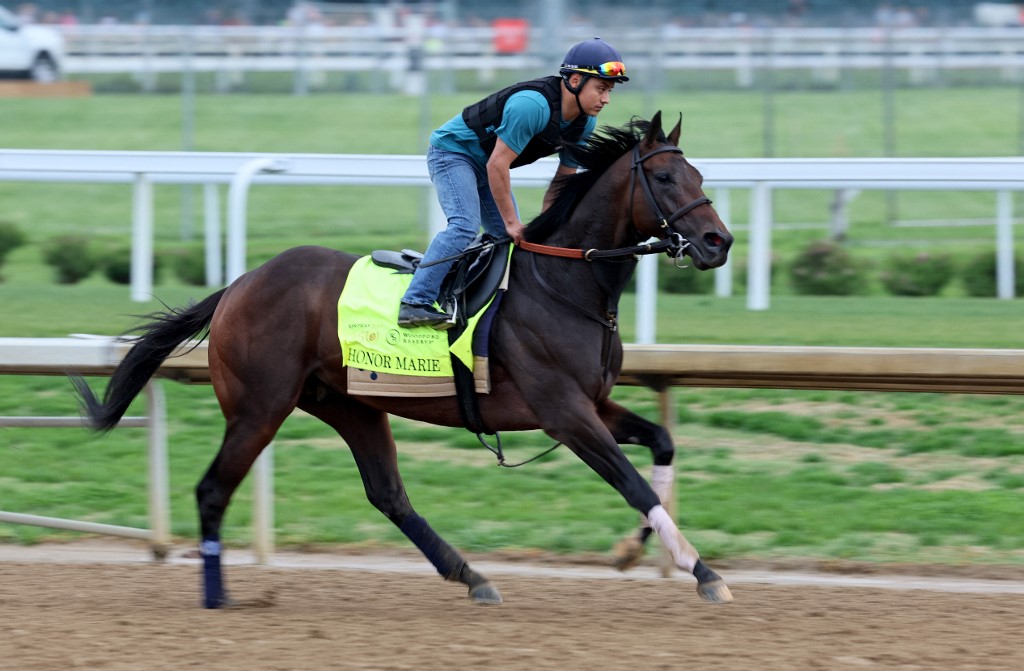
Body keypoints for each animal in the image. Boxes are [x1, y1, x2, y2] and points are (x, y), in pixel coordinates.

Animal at [74, 114, 737, 610]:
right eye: (665, 177)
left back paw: (473, 577)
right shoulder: (565, 412)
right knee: (213, 490)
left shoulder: (594, 401)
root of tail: (237, 285)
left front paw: (634, 551)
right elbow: (630, 481)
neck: (562, 284)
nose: (719, 242)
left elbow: (662, 444)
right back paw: (217, 597)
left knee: (388, 494)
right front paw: (701, 570)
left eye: (698, 173)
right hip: (259, 407)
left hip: (350, 404)